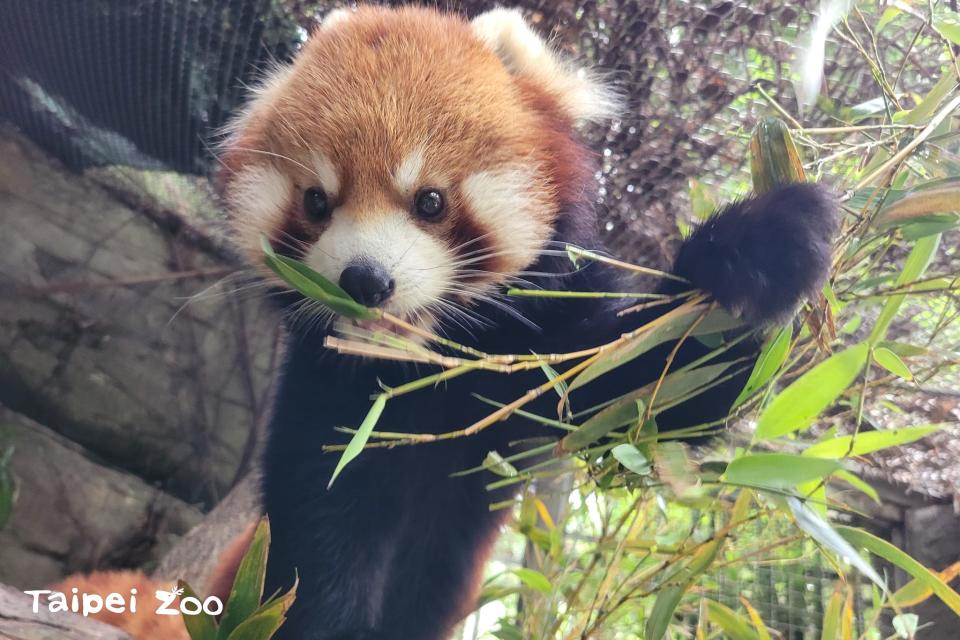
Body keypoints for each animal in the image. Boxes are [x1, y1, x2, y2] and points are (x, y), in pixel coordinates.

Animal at [67, 5, 836, 640]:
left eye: (430, 201)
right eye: (316, 201)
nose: (364, 281)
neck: (427, 369)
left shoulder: (543, 357)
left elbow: (661, 392)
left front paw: (753, 248)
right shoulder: (328, 395)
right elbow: (320, 528)